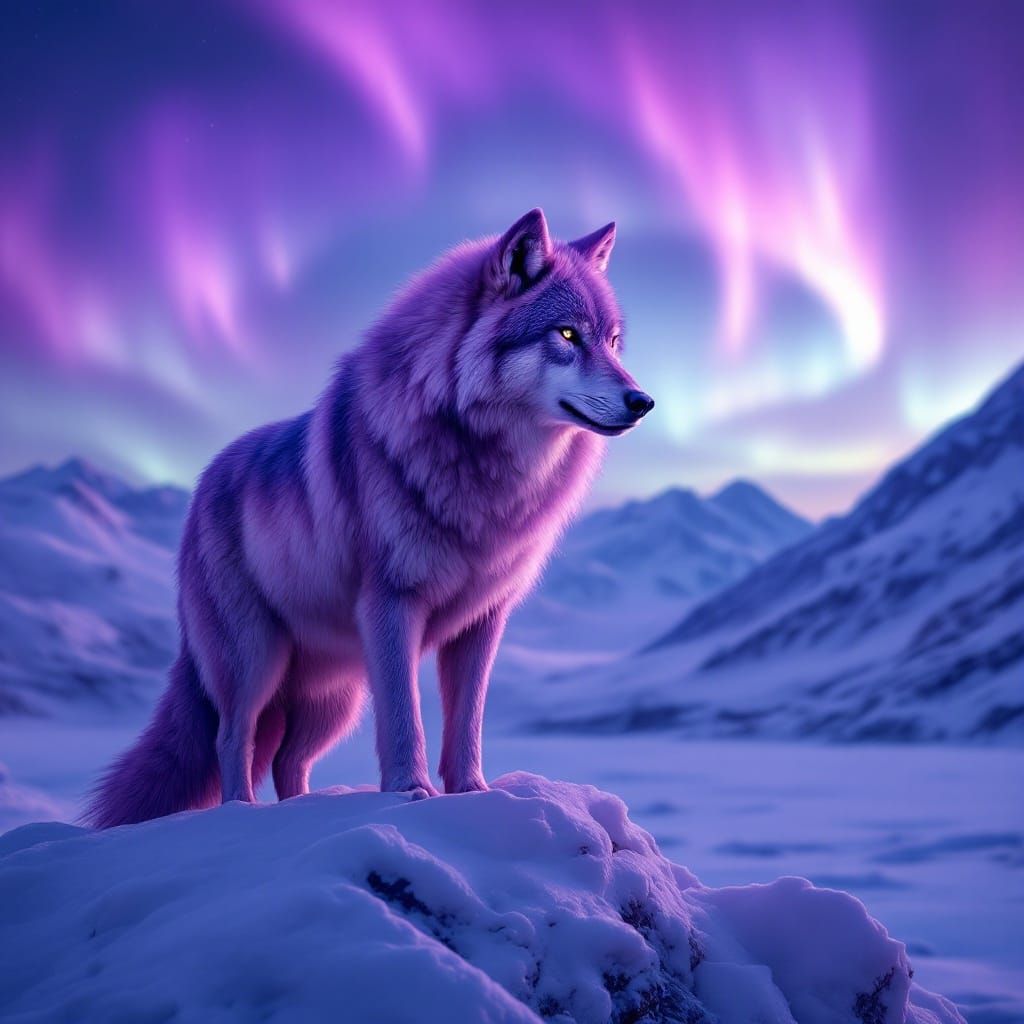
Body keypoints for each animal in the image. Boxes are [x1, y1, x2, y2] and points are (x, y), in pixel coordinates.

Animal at [86, 209, 653, 827]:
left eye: (613, 342)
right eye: (568, 336)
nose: (643, 401)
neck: (485, 467)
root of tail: (205, 481)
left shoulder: (483, 620)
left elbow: (467, 724)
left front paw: (475, 794)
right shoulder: (391, 604)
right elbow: (406, 719)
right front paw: (411, 792)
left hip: (334, 697)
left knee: (287, 760)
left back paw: (300, 811)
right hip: (257, 663)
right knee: (232, 741)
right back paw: (241, 814)